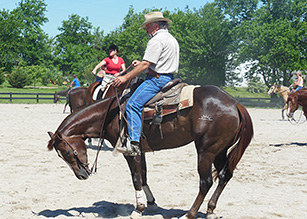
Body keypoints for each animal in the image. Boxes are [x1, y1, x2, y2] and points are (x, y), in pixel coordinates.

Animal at [47, 84, 255, 219]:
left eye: (66, 153)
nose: (82, 175)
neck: (110, 115)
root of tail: (234, 103)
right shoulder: (141, 151)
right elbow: (144, 176)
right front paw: (152, 204)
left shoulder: (130, 152)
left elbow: (136, 178)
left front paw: (138, 209)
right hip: (220, 149)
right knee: (224, 175)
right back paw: (210, 210)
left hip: (206, 150)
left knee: (206, 182)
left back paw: (189, 214)